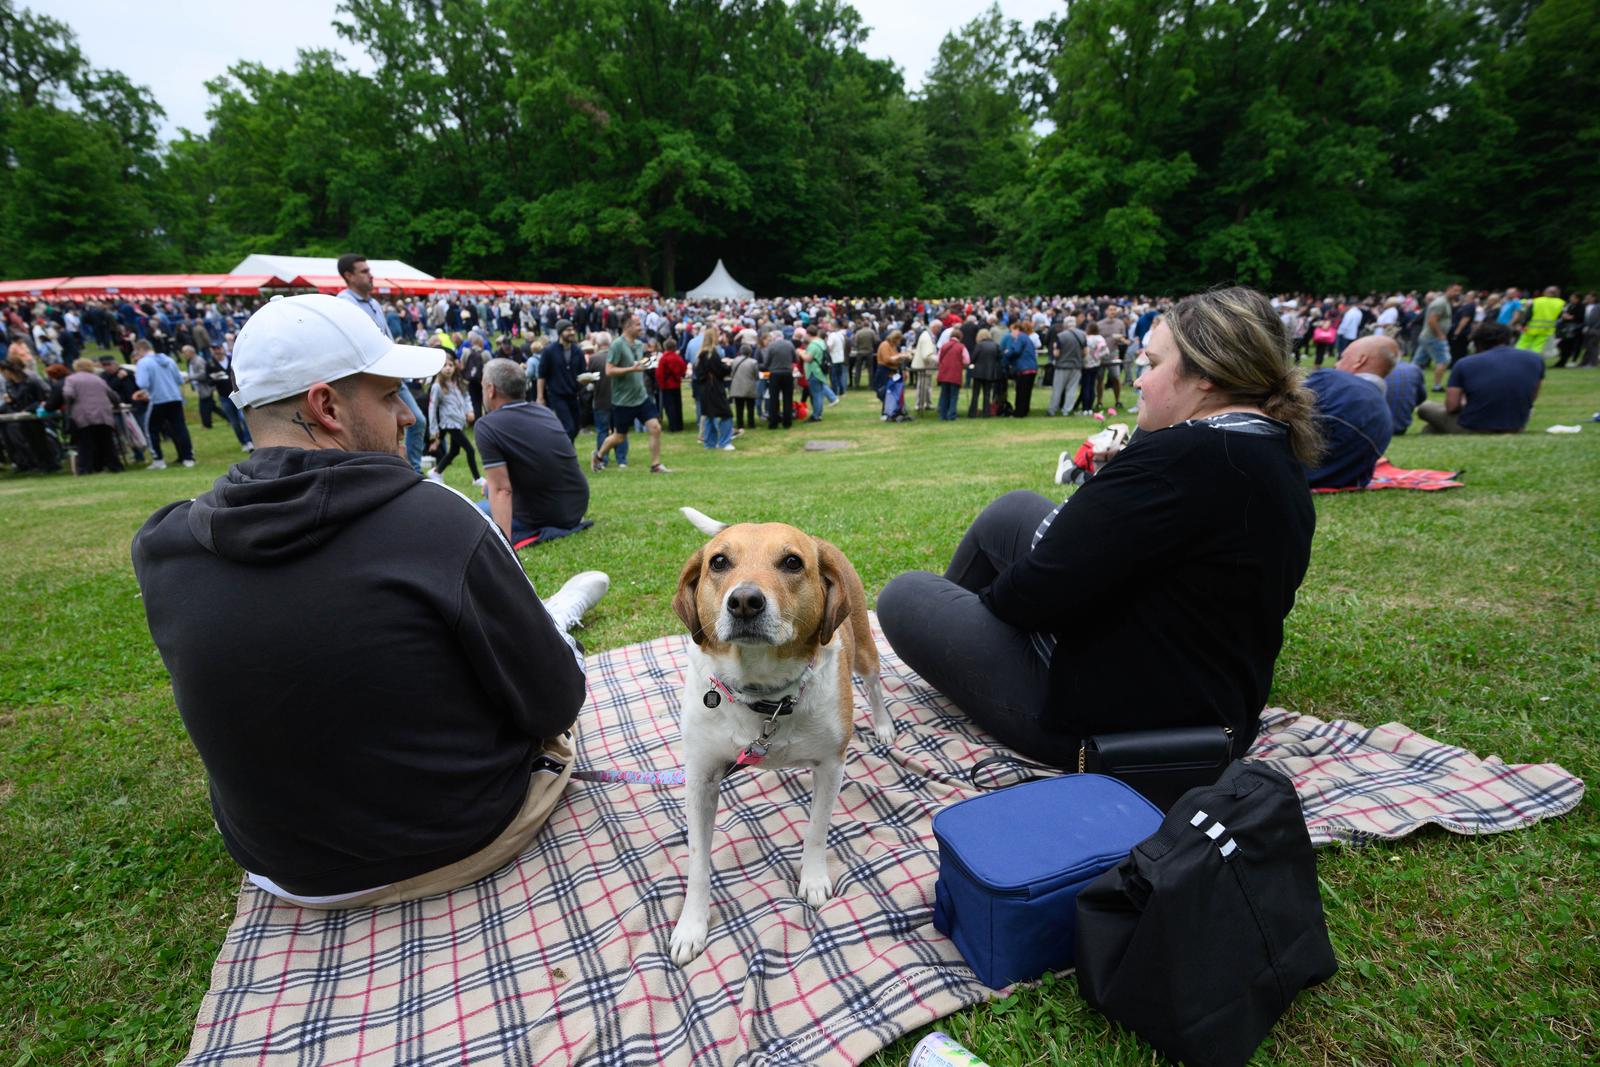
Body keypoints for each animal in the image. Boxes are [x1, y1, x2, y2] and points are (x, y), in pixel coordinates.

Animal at [668, 505, 896, 966]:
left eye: (792, 562)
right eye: (719, 562)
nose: (744, 601)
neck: (764, 695)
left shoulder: (830, 765)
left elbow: (817, 830)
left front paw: (813, 878)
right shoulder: (700, 778)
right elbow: (698, 862)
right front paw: (691, 925)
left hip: (864, 646)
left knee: (874, 682)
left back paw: (882, 724)